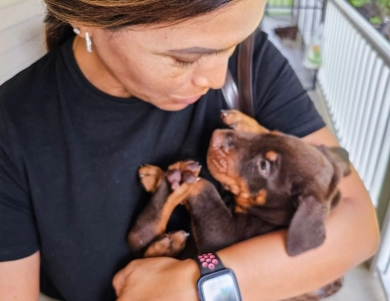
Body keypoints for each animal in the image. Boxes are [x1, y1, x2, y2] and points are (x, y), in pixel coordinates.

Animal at [128, 110, 350, 300]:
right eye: (275, 134)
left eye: (264, 166)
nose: (216, 135)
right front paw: (241, 120)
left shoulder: (221, 235)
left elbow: (205, 187)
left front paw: (182, 179)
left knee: (136, 238)